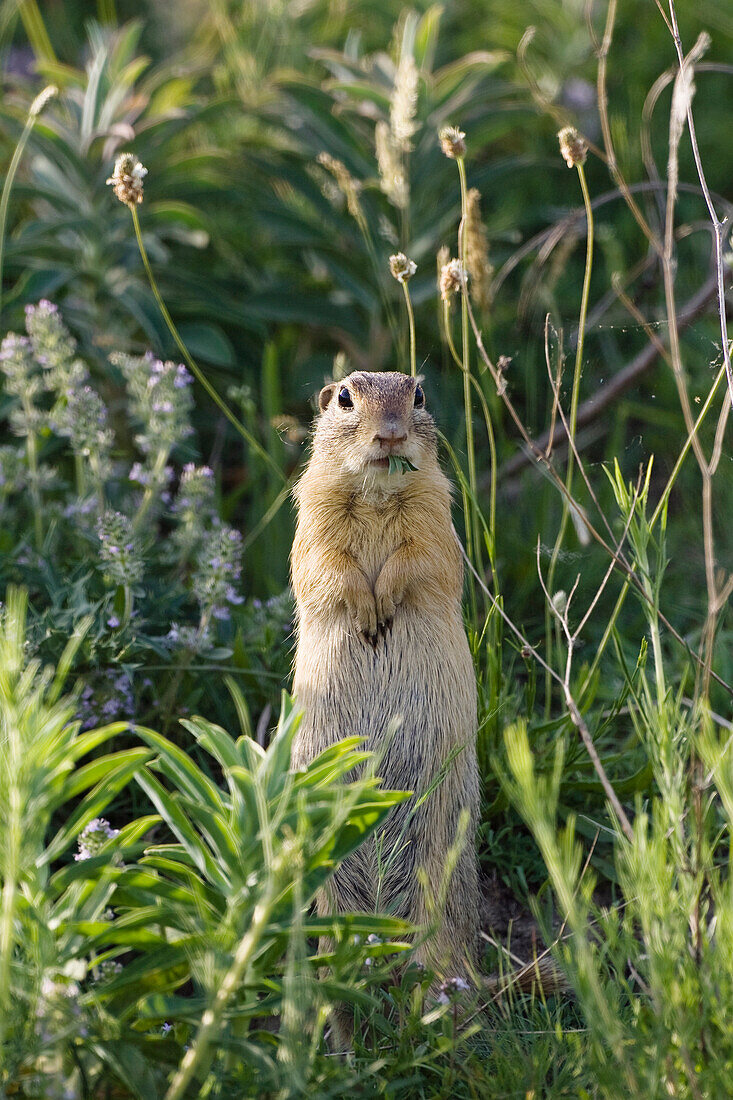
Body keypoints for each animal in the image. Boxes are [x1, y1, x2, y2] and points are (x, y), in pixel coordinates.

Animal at [290, 371, 479, 981]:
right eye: (345, 397)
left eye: (418, 395)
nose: (391, 434)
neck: (376, 493)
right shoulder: (313, 519)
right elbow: (328, 566)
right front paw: (368, 614)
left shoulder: (435, 516)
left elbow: (417, 561)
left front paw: (385, 604)